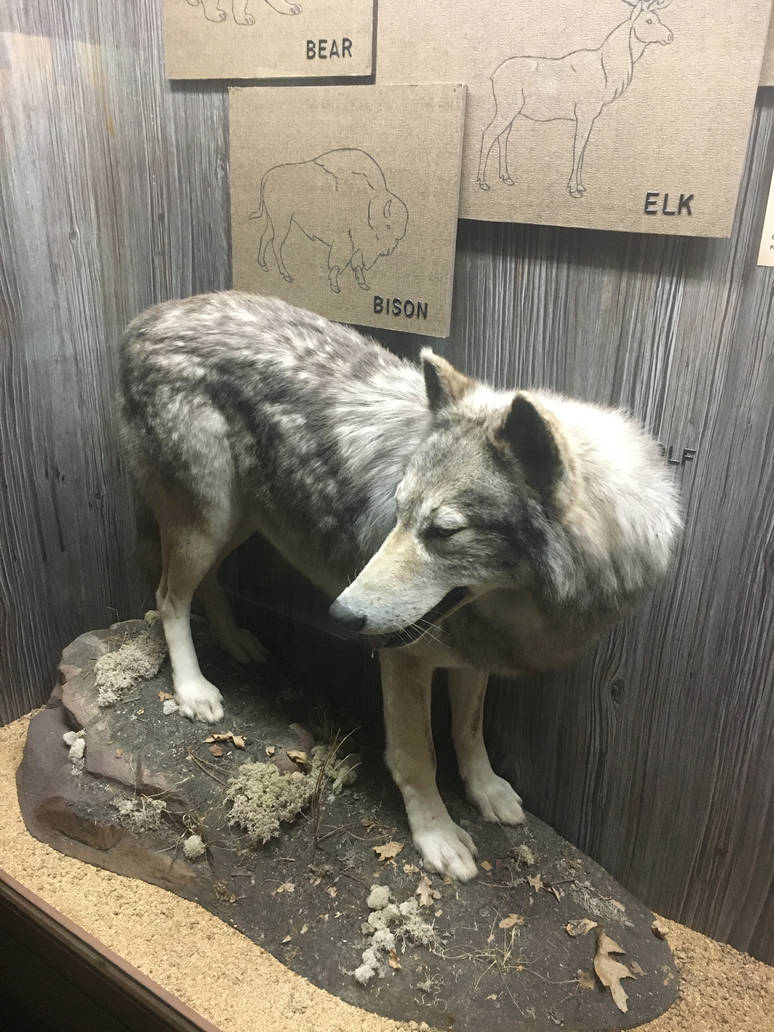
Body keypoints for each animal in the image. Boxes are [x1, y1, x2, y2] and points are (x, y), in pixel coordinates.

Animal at [118, 290, 681, 881]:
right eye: (398, 509)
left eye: (444, 531)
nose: (341, 618)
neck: (519, 611)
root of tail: (149, 318)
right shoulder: (405, 661)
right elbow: (419, 756)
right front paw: (437, 835)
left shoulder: (474, 656)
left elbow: (469, 732)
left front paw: (485, 791)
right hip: (208, 521)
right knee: (168, 597)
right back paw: (192, 690)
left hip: (238, 521)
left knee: (203, 586)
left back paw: (236, 643)